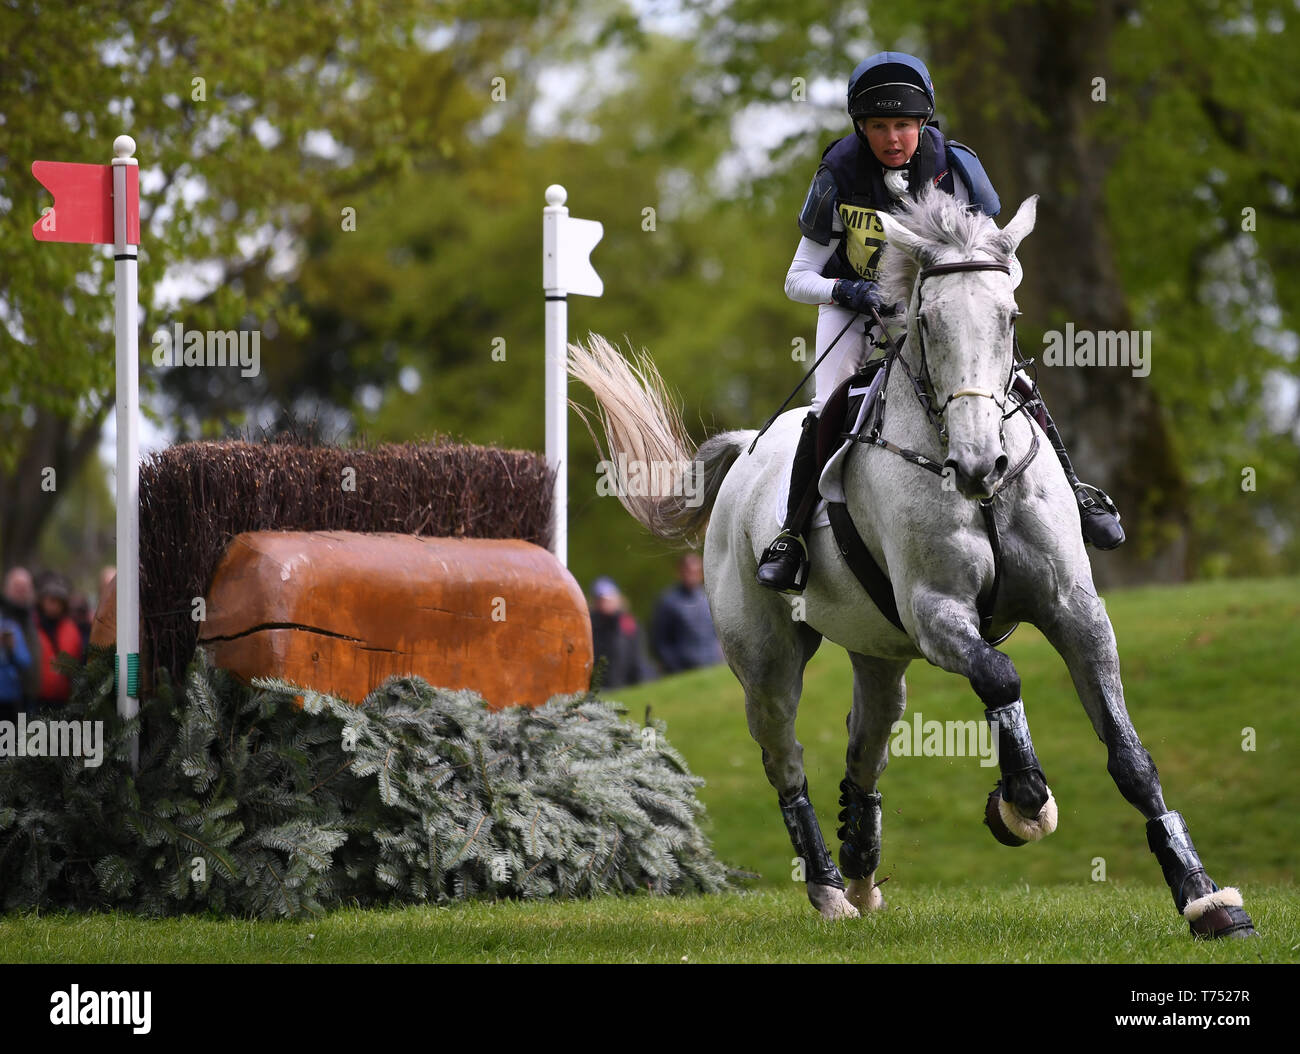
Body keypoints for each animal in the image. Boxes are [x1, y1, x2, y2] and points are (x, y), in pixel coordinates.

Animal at [566, 189, 1248, 940]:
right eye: (926, 320)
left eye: (1010, 317)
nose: (982, 466)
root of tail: (747, 448)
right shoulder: (935, 611)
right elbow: (1000, 675)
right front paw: (1022, 803)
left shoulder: (1074, 610)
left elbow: (1129, 756)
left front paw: (1203, 895)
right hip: (767, 662)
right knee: (785, 761)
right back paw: (829, 887)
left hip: (879, 653)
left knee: (865, 747)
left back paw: (862, 866)